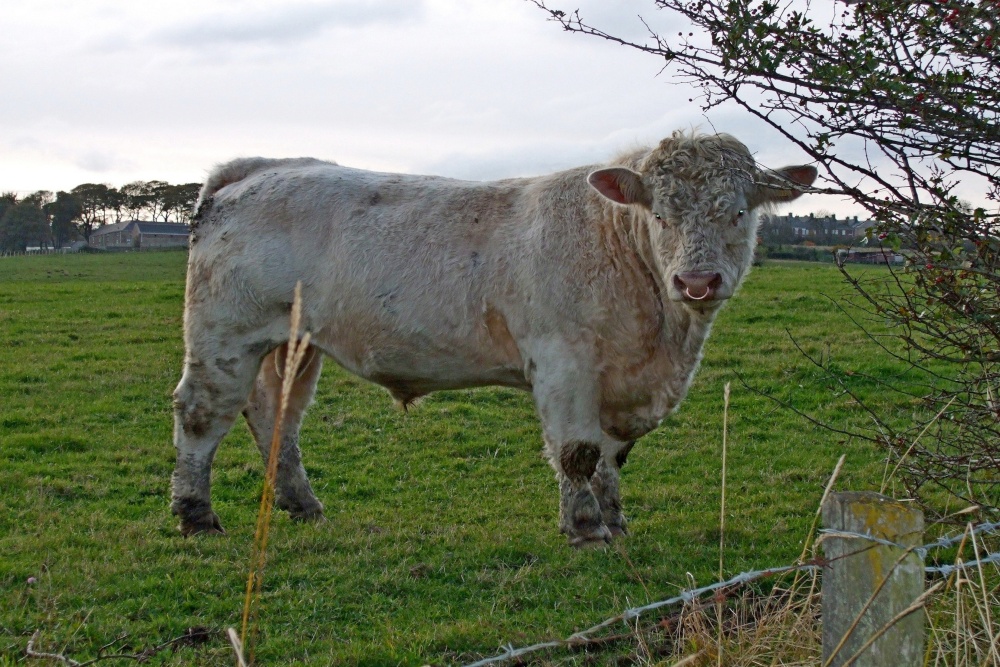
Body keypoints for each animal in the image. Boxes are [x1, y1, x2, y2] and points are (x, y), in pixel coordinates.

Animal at [171, 131, 816, 547]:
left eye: (738, 212)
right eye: (660, 214)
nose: (697, 281)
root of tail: (259, 166)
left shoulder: (614, 378)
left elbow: (609, 456)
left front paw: (614, 520)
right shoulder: (563, 362)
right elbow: (578, 452)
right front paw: (586, 530)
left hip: (293, 345)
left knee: (274, 414)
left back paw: (301, 504)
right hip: (224, 331)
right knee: (202, 412)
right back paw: (196, 514)